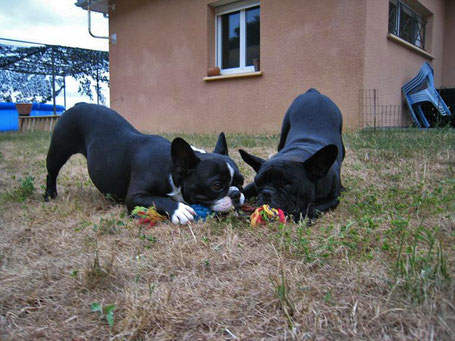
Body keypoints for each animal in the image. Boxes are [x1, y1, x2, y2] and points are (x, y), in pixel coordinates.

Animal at [45, 102, 246, 224]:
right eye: (216, 185)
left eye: (241, 181)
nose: (236, 194)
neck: (171, 169)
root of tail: (79, 104)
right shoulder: (135, 196)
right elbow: (158, 199)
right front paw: (179, 210)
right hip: (59, 149)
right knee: (52, 172)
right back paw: (50, 195)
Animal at [240, 87, 344, 219]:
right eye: (258, 183)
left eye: (287, 184)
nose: (267, 192)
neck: (296, 152)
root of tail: (314, 92)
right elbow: (243, 190)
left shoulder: (333, 199)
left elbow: (312, 208)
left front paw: (297, 216)